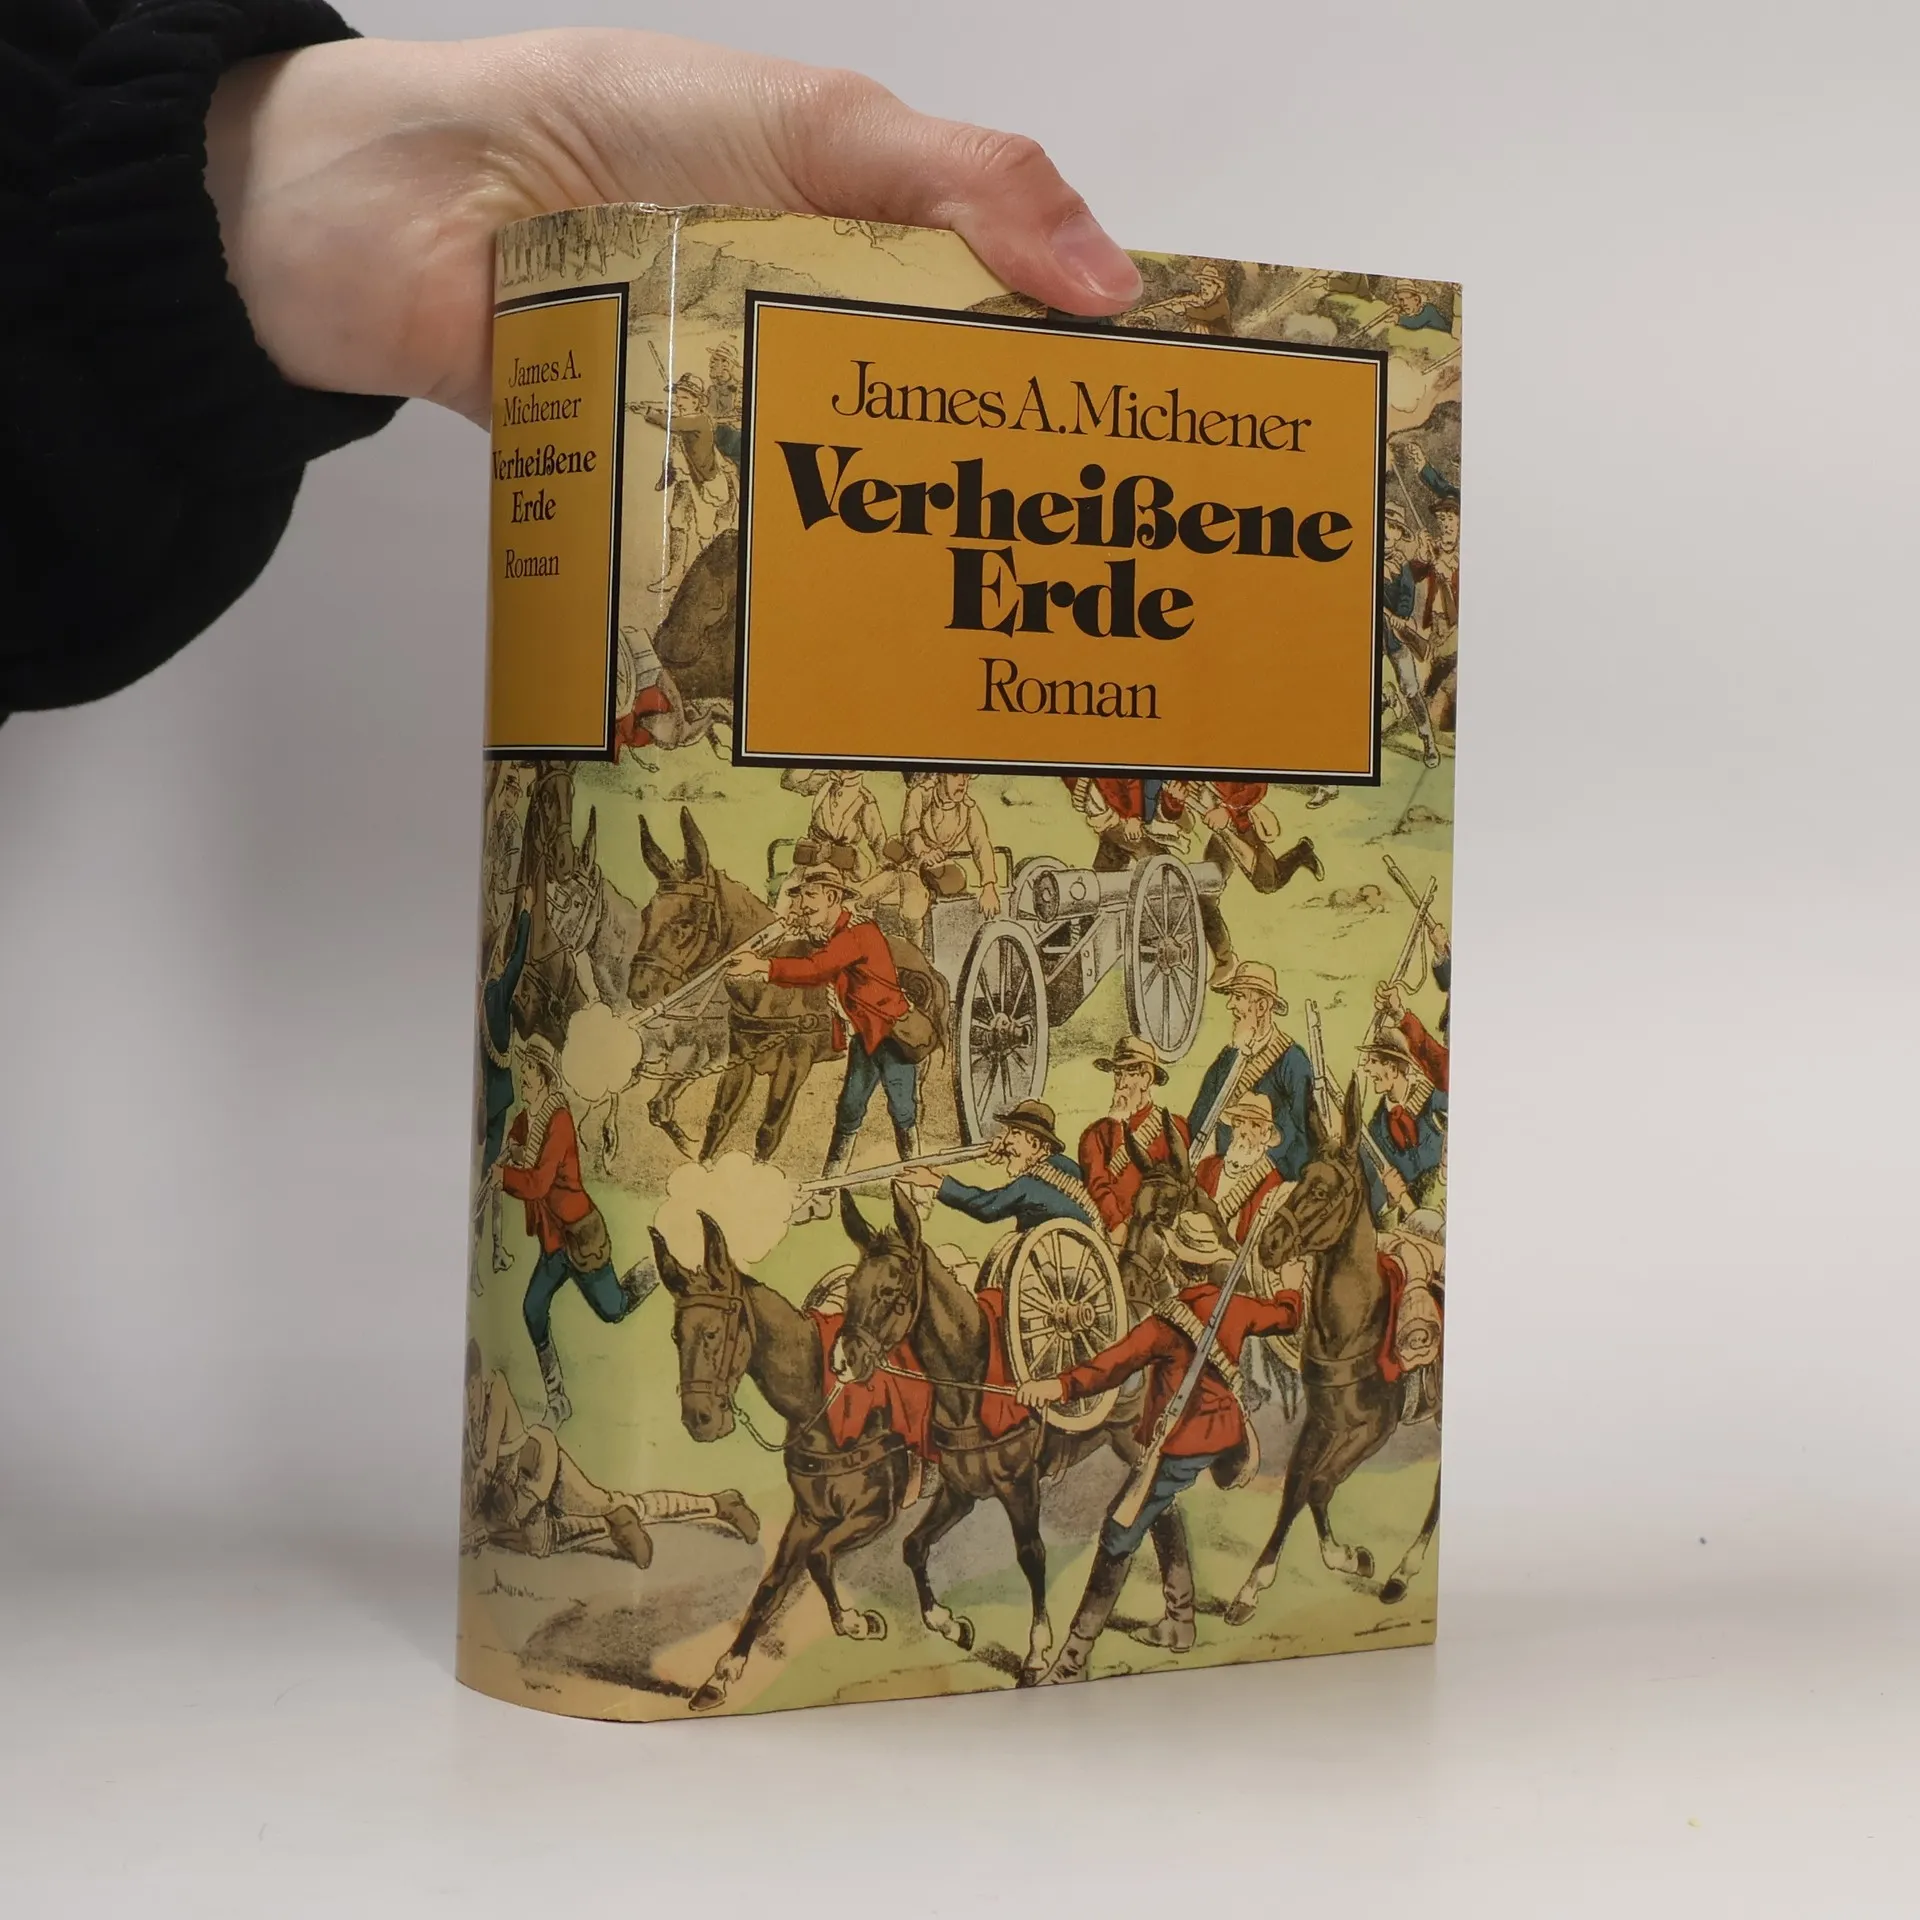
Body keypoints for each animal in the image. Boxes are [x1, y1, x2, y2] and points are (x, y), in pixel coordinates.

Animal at [627, 807, 949, 1164]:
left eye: (685, 923)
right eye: (646, 914)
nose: (639, 990)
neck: (768, 993)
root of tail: (924, 961)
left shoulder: (794, 1063)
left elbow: (769, 1131)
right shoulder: (739, 1059)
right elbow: (719, 1119)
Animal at [652, 1210, 914, 1714]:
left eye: (713, 1333)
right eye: (675, 1335)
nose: (700, 1419)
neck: (824, 1399)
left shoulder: (877, 1512)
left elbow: (819, 1558)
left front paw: (856, 1623)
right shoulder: (810, 1516)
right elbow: (771, 1586)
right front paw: (723, 1673)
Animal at [1223, 1075, 1442, 1624]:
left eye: (1325, 1189)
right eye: (1301, 1178)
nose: (1269, 1245)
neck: (1354, 1325)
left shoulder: (1375, 1429)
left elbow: (1320, 1485)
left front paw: (1349, 1557)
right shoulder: (1322, 1422)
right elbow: (1297, 1489)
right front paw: (1252, 1587)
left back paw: (1402, 1574)